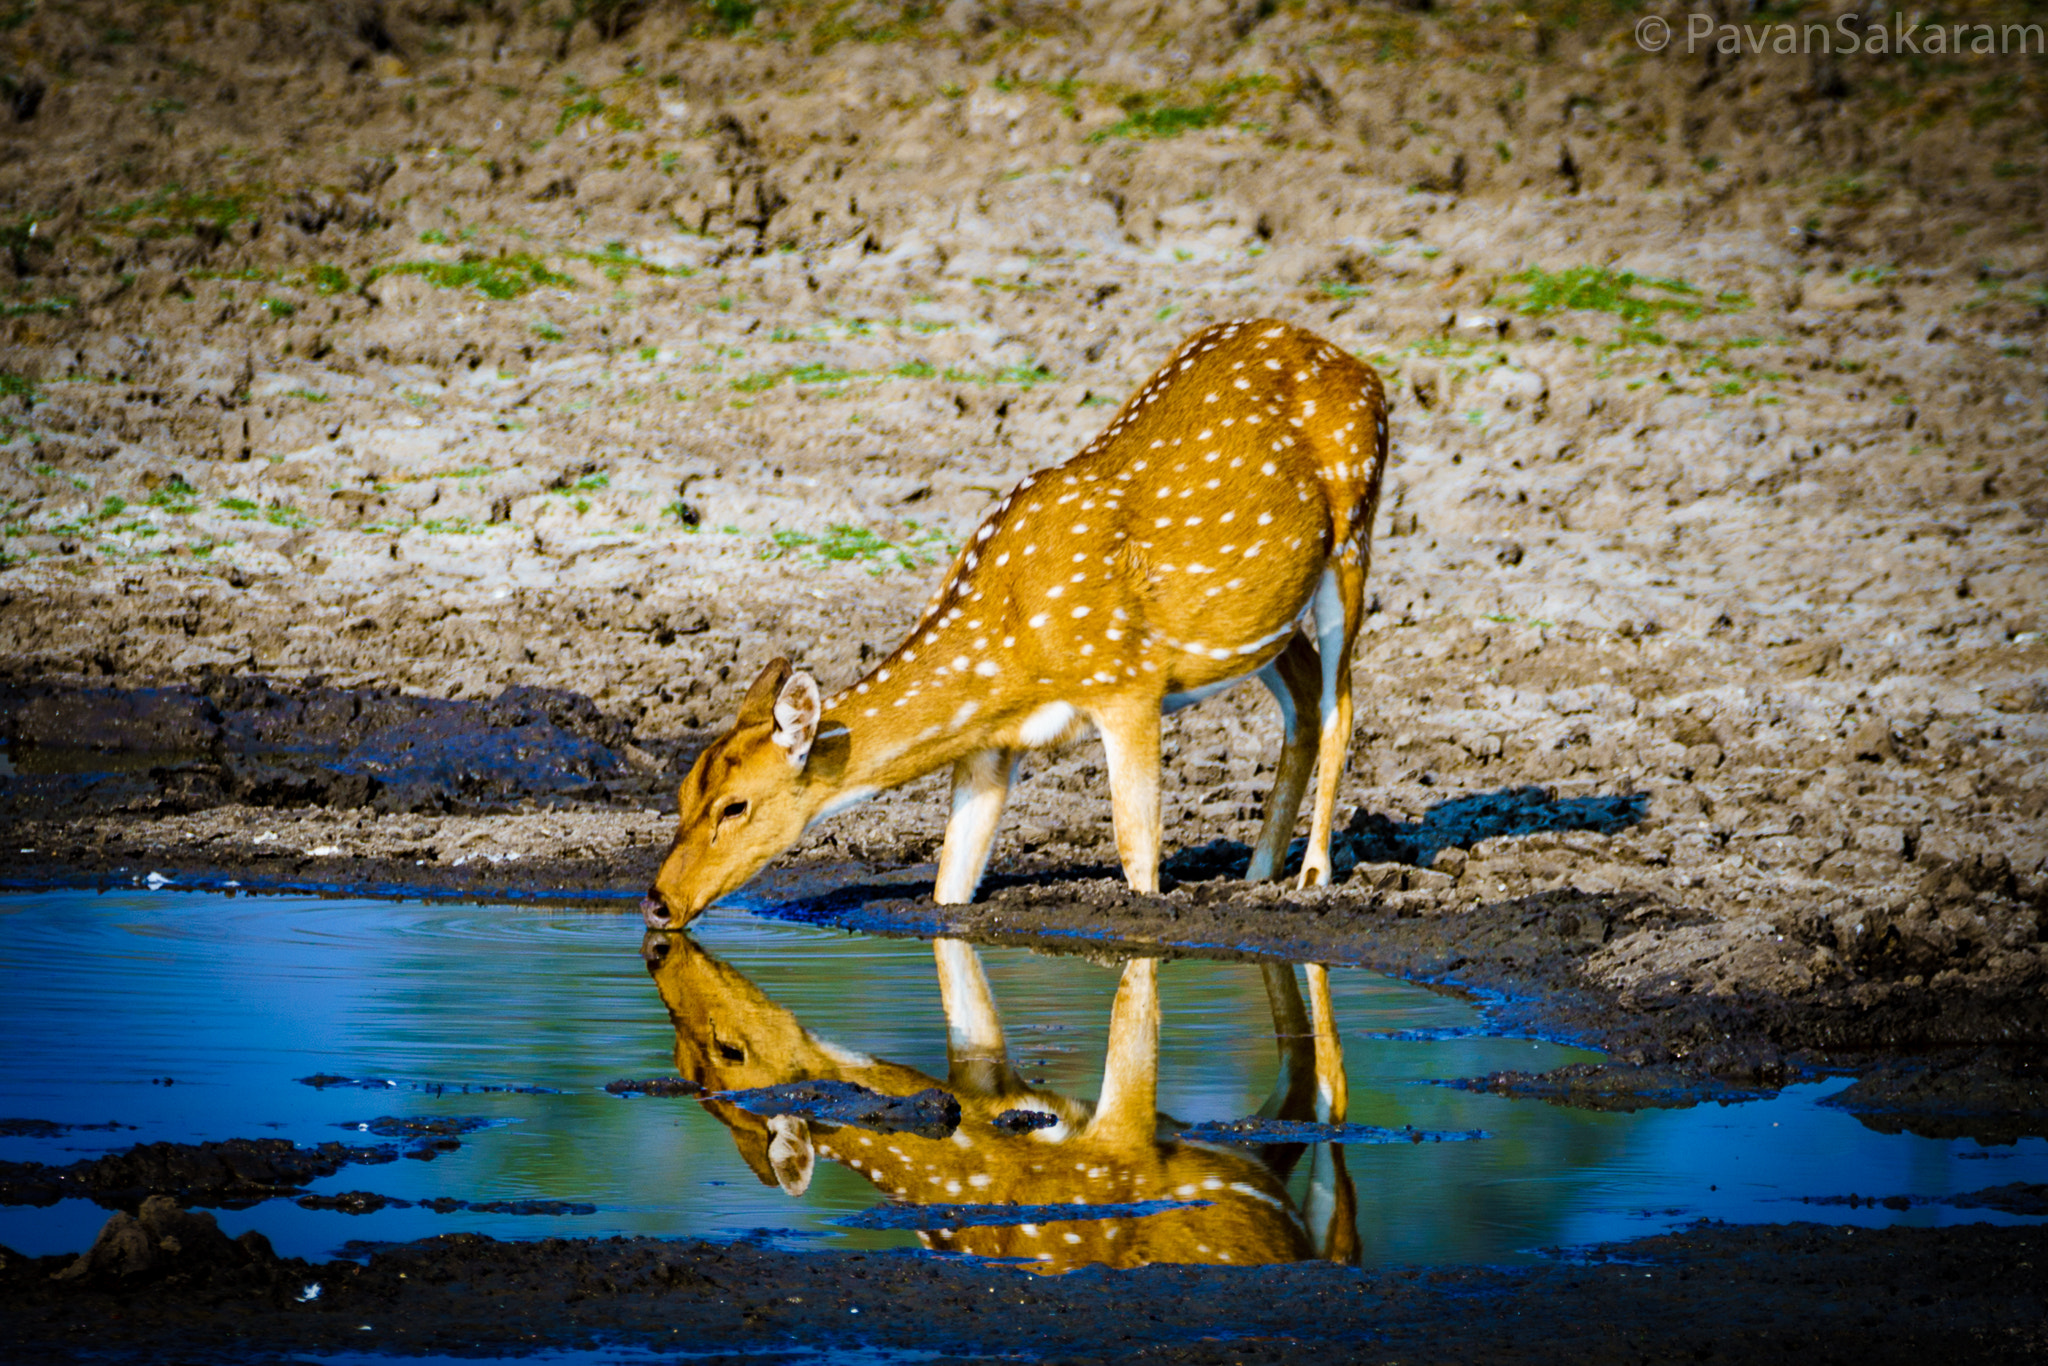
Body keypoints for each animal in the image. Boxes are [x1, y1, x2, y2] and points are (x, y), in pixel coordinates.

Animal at [640, 317, 1390, 932]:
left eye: (734, 806)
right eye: (681, 791)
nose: (657, 902)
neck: (1012, 656)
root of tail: (1367, 371)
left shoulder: (1129, 683)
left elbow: (1136, 854)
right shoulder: (988, 748)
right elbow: (950, 883)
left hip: (1352, 536)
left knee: (1341, 702)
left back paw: (1311, 875)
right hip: (1267, 616)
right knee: (1302, 695)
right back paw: (1257, 874)